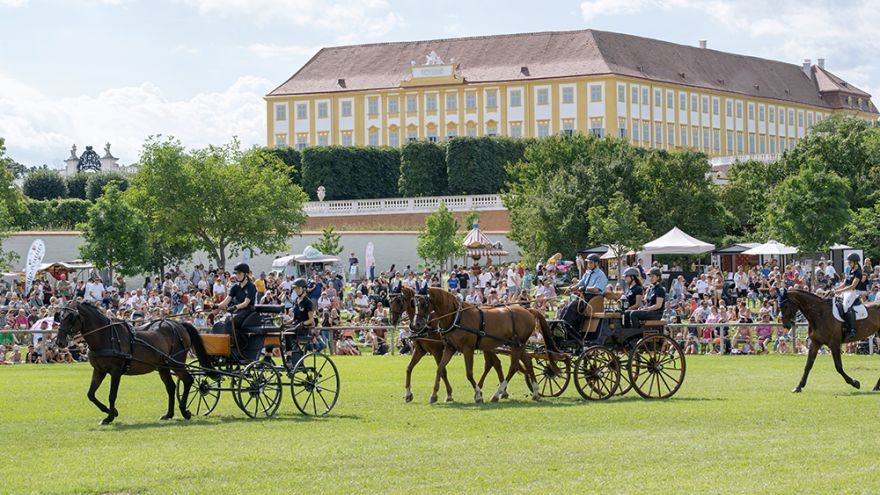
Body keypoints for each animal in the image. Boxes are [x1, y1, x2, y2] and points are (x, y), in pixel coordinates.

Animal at [56, 300, 213, 424]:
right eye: (59, 316)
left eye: (70, 317)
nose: (59, 342)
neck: (105, 336)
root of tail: (178, 324)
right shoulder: (99, 370)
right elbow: (91, 394)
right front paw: (111, 412)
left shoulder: (116, 371)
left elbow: (112, 394)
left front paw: (109, 417)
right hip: (163, 367)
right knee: (171, 387)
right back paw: (169, 414)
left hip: (177, 363)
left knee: (188, 380)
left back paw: (184, 411)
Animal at [410, 286, 560, 404]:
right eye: (414, 303)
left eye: (423, 303)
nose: (416, 324)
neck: (456, 317)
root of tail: (528, 310)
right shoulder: (450, 348)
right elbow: (440, 369)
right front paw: (434, 395)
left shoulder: (468, 349)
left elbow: (469, 373)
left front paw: (478, 394)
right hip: (519, 344)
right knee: (527, 362)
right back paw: (535, 392)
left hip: (516, 345)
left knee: (513, 366)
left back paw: (497, 394)